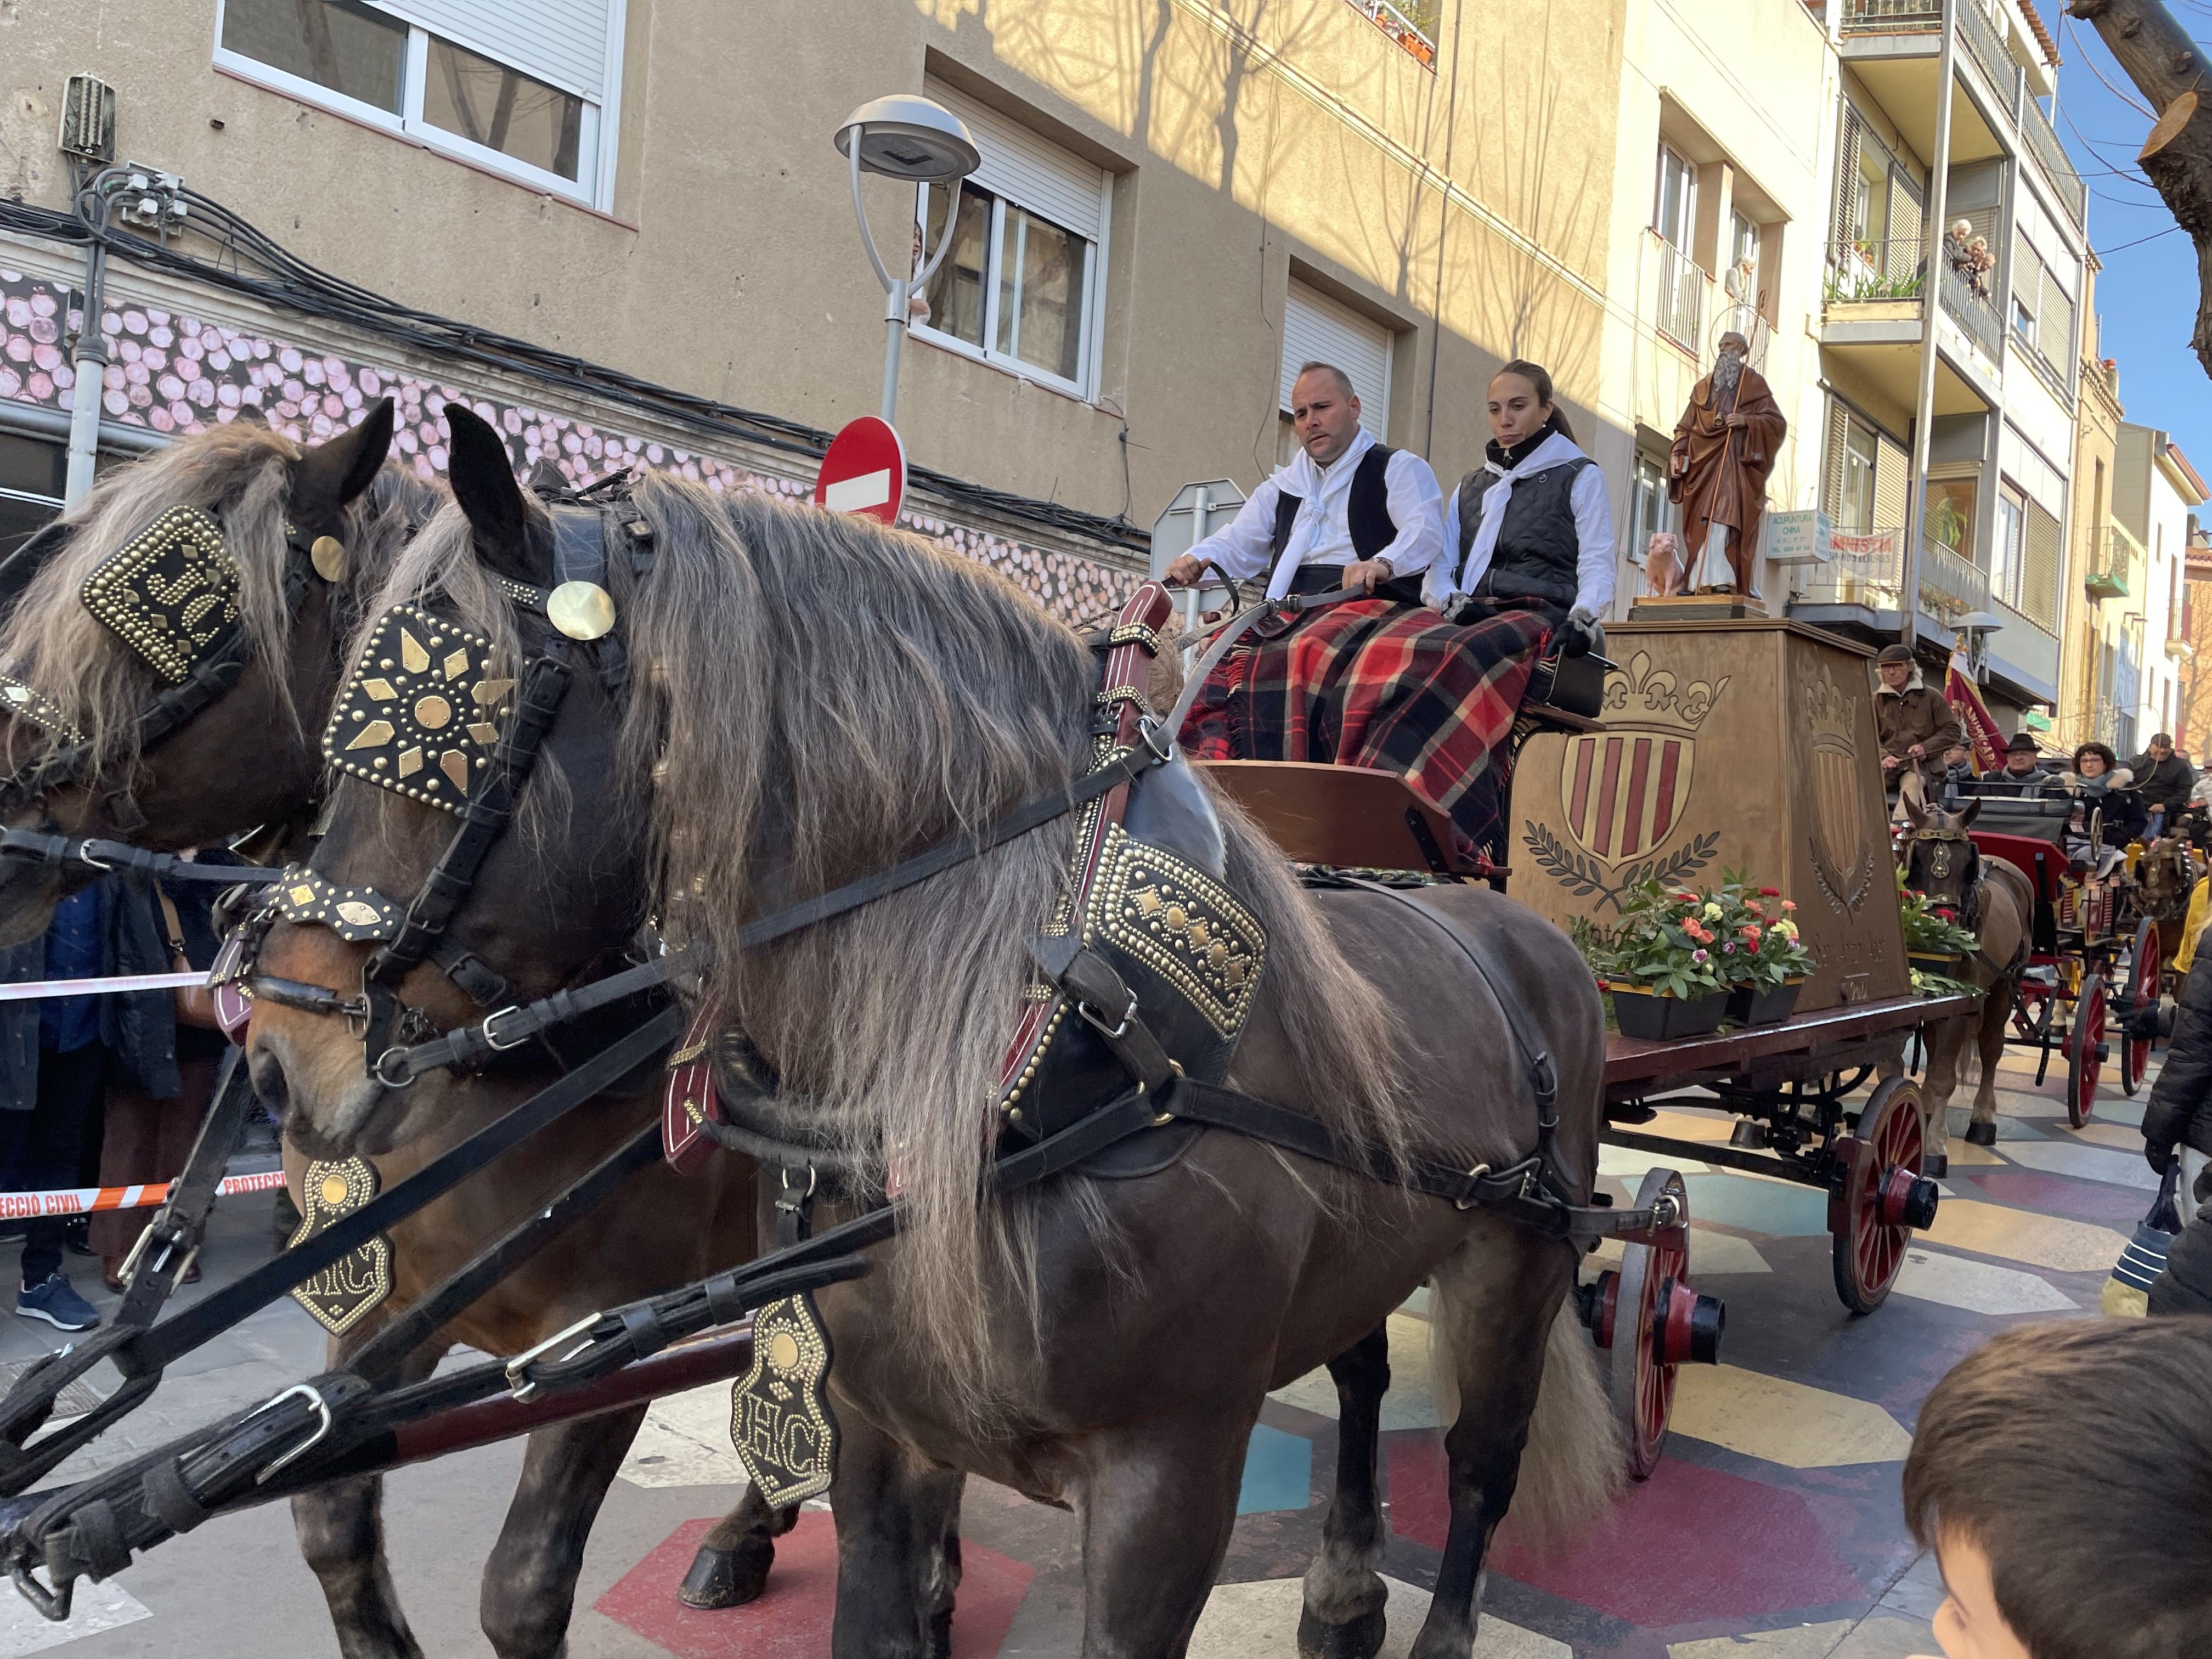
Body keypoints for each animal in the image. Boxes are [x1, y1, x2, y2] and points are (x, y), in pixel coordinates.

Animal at [0, 422, 778, 1659]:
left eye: (170, 630)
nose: (279, 1066)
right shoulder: (376, 1297)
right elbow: (330, 1525)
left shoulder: (607, 1336)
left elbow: (523, 1589)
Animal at [251, 407, 1619, 1659]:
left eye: (451, 732)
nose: (280, 1048)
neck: (1072, 1049)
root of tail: (1517, 930)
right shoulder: (877, 1428)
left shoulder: (1168, 1478)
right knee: (1364, 1374)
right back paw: (1340, 1596)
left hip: (1520, 1258)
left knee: (1484, 1466)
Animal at [1893, 805, 2026, 1159]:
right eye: (1917, 857)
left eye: (1968, 861)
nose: (1942, 923)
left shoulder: (1960, 1009)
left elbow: (1944, 1078)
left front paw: (1934, 1146)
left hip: (2003, 988)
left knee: (1992, 1048)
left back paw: (1983, 1118)